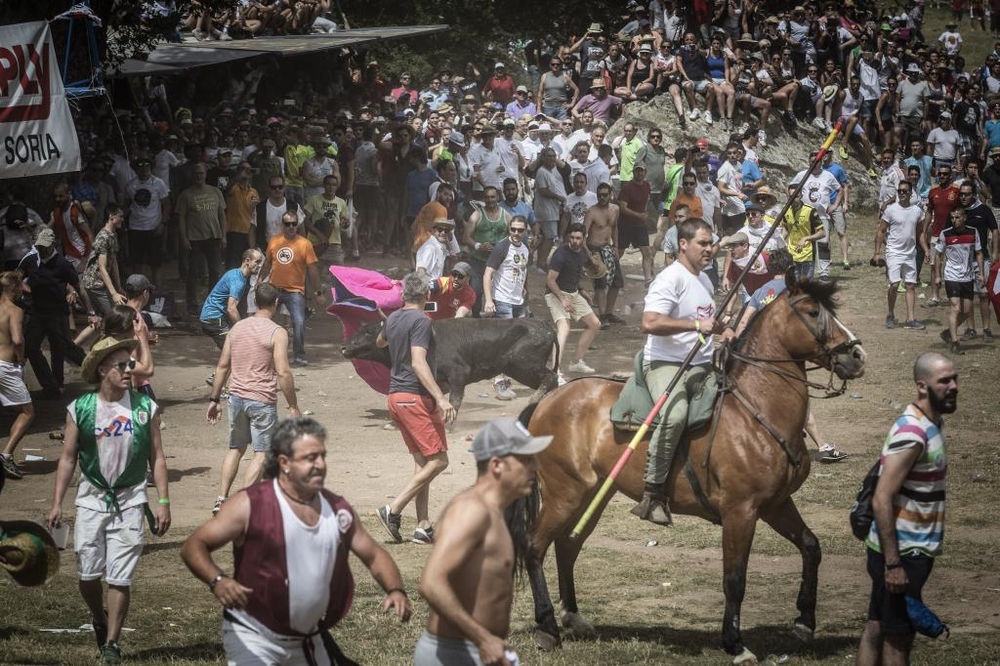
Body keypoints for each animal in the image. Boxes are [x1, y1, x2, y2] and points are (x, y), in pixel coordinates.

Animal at [342, 318, 564, 410]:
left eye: (369, 332)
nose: (344, 347)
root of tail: (544, 324)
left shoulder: (458, 374)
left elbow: (454, 400)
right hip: (522, 369)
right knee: (550, 381)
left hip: (525, 366)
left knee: (550, 377)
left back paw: (533, 401)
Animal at [508, 272, 868, 660]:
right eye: (814, 311)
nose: (857, 355)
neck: (757, 409)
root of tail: (548, 400)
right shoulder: (741, 511)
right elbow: (735, 579)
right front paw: (735, 643)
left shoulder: (776, 504)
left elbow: (811, 547)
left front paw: (804, 621)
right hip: (565, 492)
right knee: (535, 546)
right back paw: (548, 628)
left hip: (593, 493)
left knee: (566, 546)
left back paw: (573, 616)